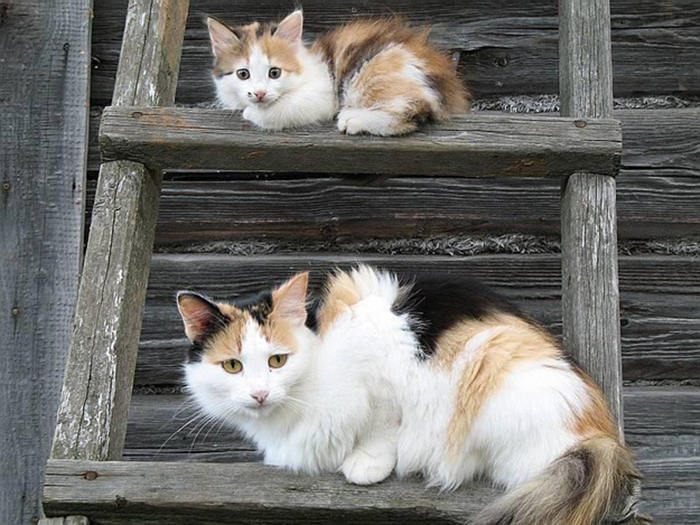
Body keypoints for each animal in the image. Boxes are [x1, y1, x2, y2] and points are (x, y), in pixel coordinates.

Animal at [176, 268, 644, 520]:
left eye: (277, 360)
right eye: (233, 366)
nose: (259, 394)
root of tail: (603, 436)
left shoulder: (383, 368)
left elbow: (382, 426)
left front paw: (367, 464)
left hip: (490, 361)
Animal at [208, 10, 470, 135]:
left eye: (275, 73)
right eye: (243, 74)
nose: (259, 93)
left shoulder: (321, 96)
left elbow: (279, 111)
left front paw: (252, 112)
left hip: (372, 72)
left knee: (416, 109)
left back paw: (354, 119)